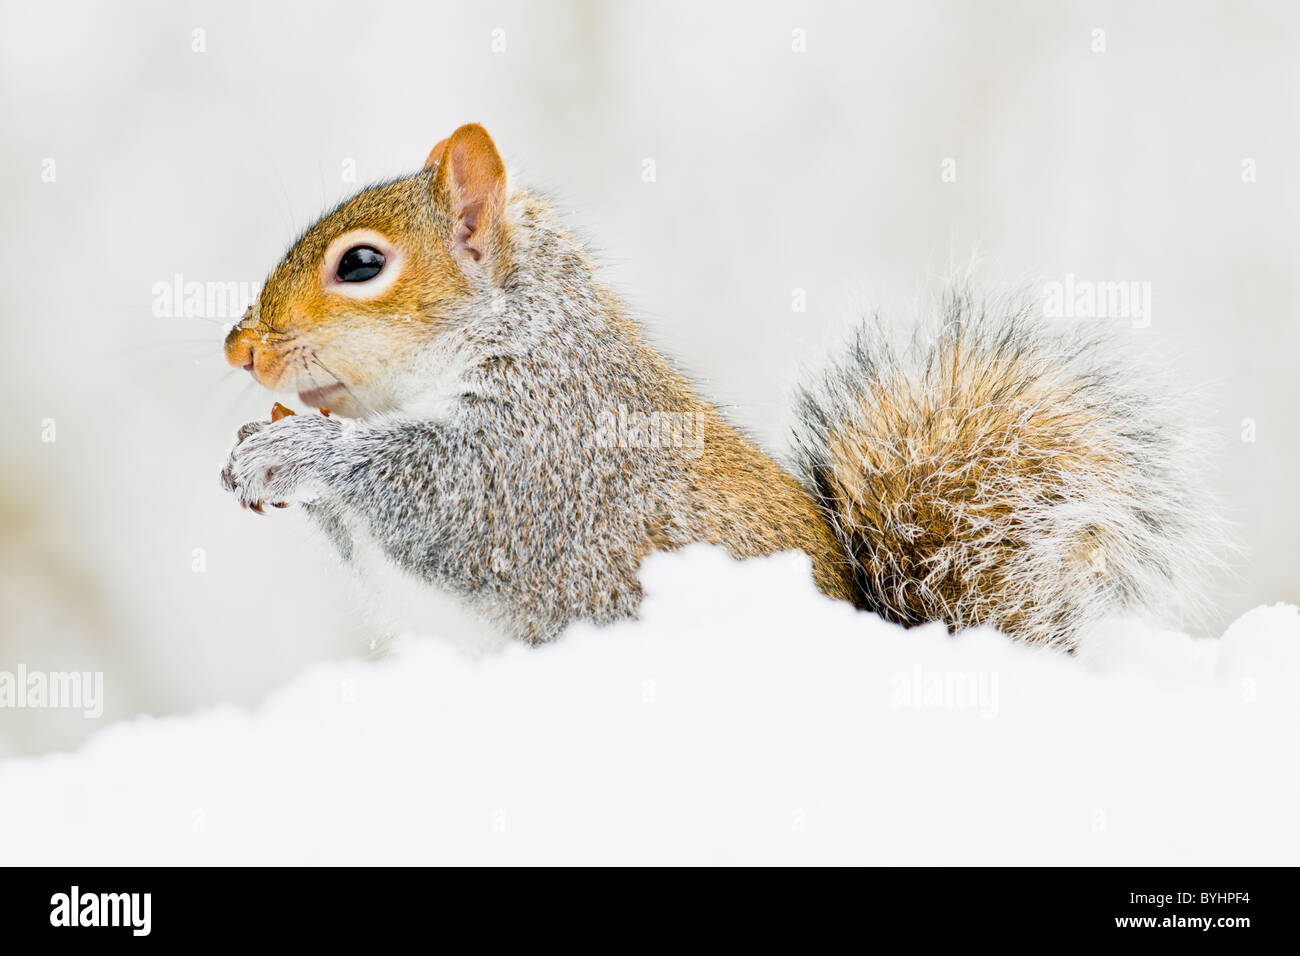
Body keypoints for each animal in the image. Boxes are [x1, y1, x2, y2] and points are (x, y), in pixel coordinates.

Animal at [218, 123, 1222, 647]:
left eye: (361, 264)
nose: (240, 352)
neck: (517, 332)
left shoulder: (553, 449)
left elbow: (449, 498)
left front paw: (295, 450)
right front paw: (250, 453)